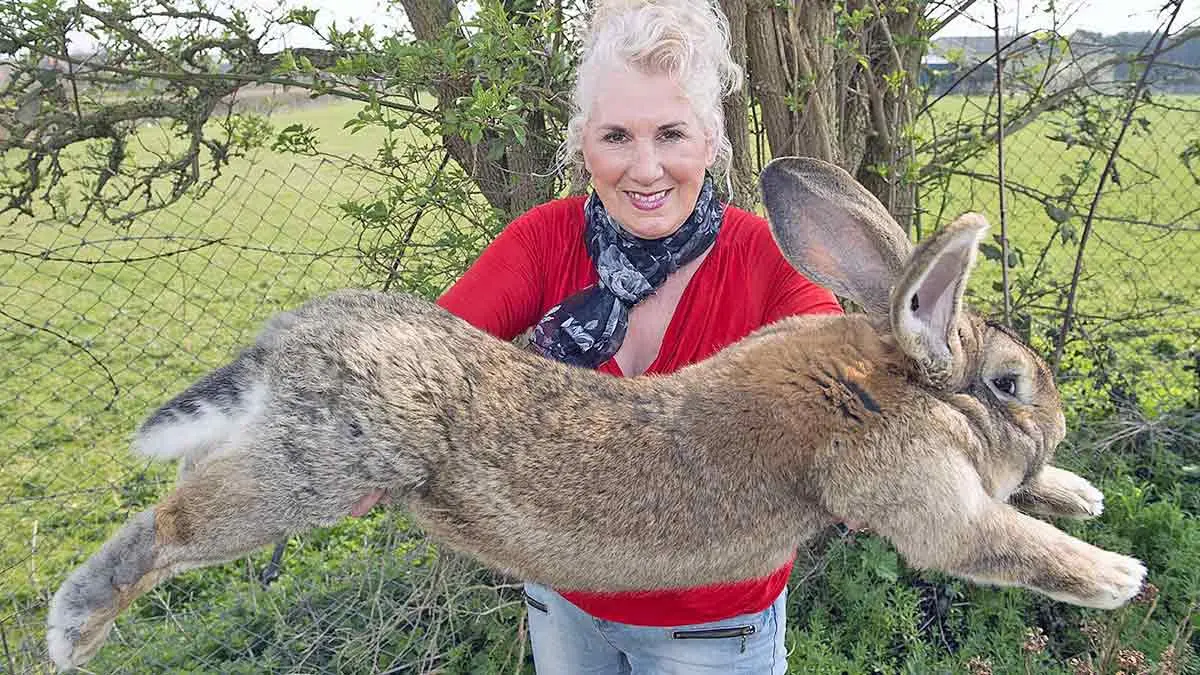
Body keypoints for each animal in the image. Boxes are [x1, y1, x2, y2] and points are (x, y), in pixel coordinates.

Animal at [46, 156, 1147, 667]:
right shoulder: (922, 498)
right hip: (313, 472)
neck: (891, 379)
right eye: (1010, 384)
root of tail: (288, 341)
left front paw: (1080, 493)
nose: (1054, 424)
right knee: (171, 524)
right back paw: (74, 629)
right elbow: (1000, 542)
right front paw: (1116, 574)